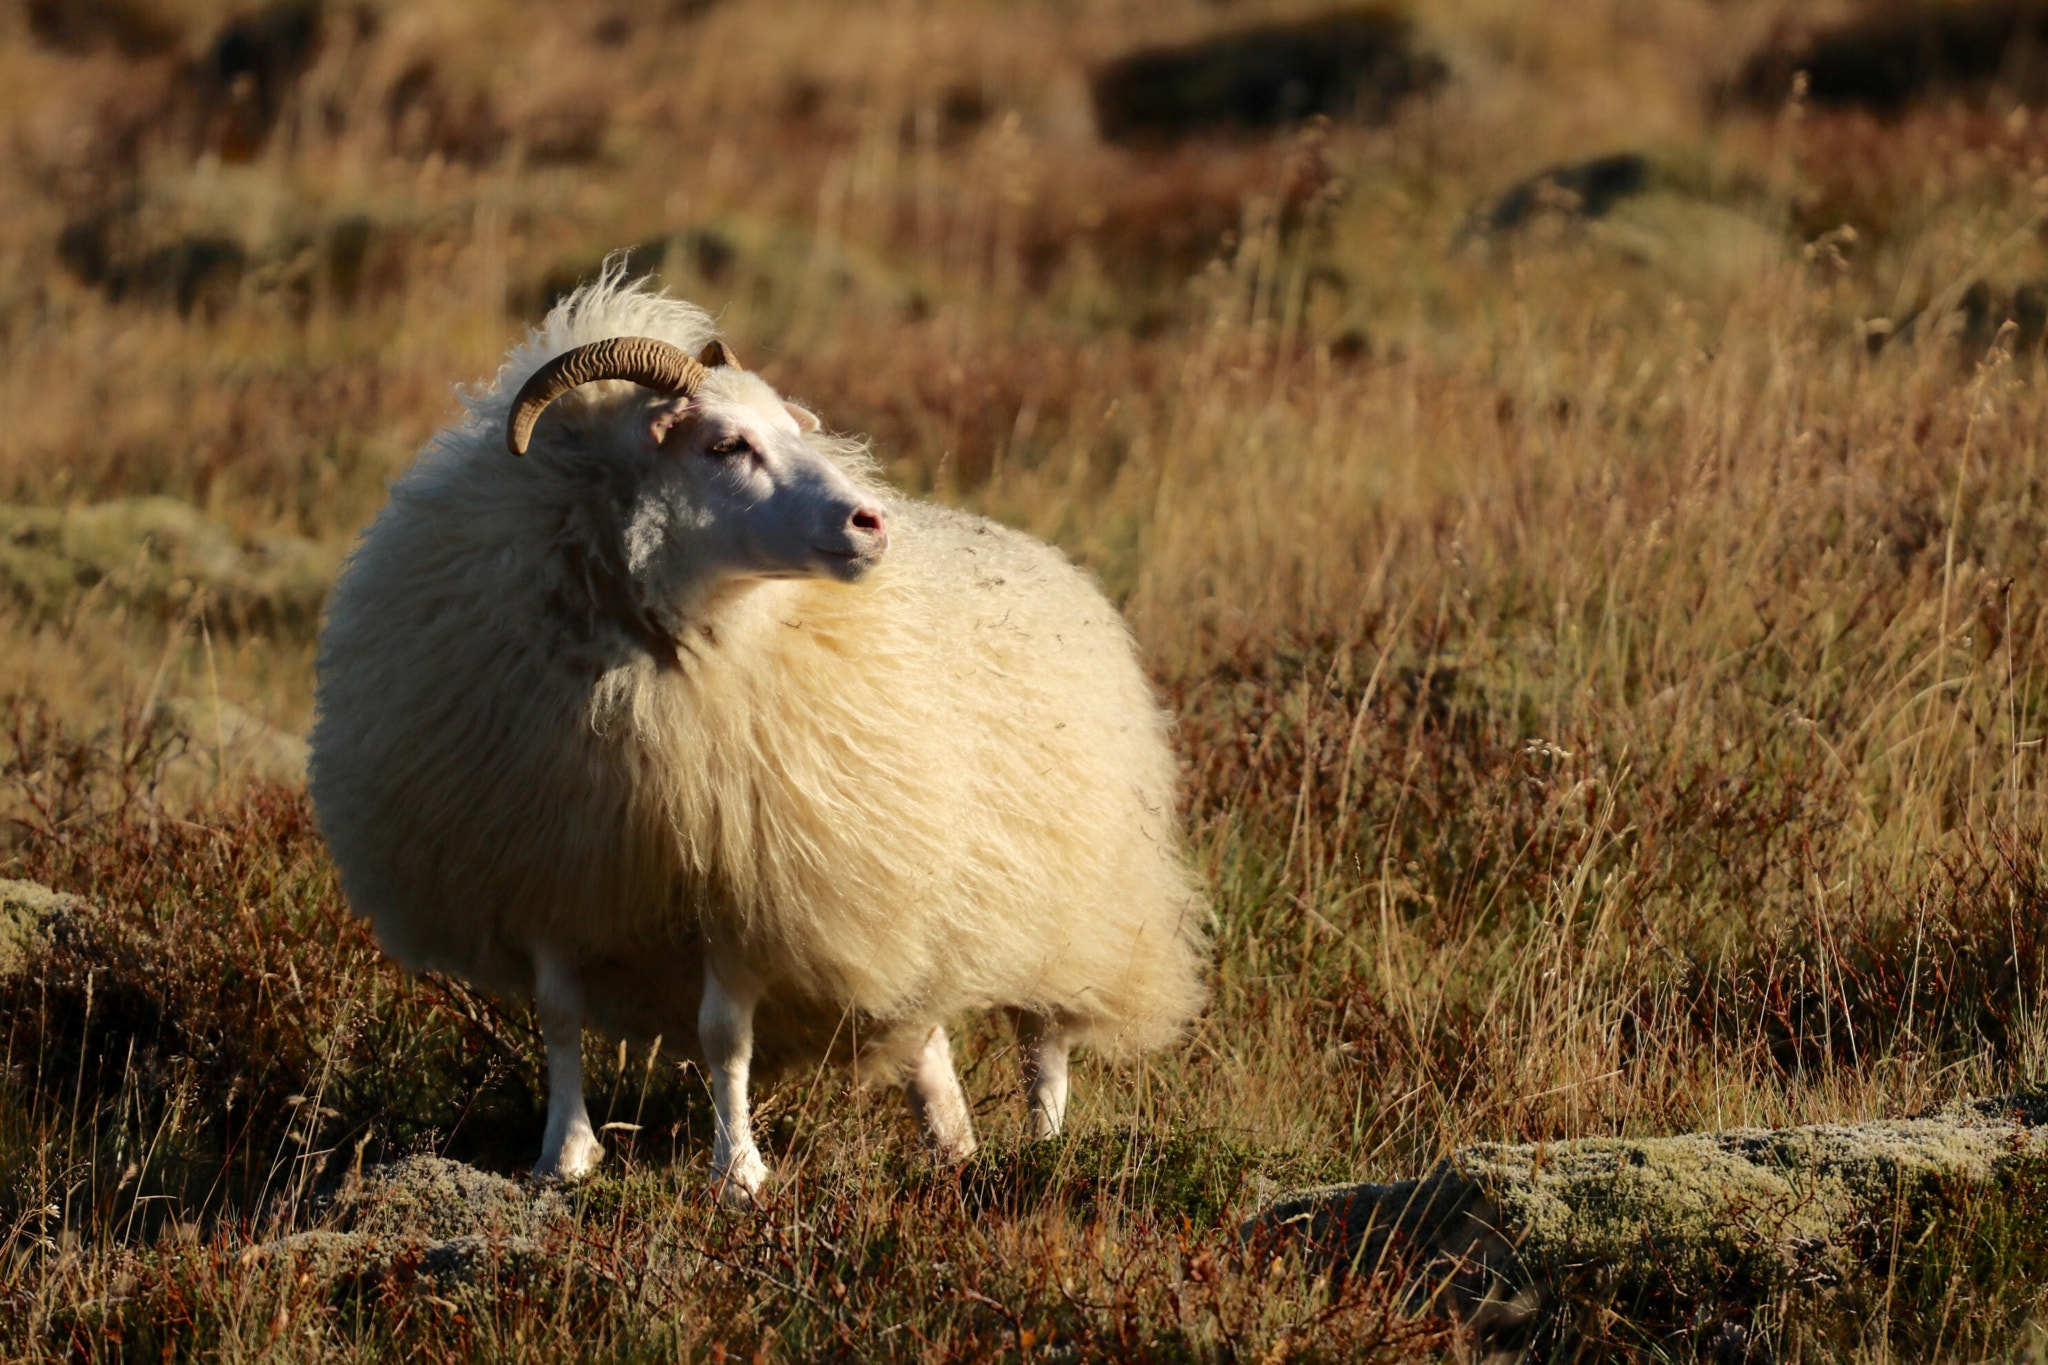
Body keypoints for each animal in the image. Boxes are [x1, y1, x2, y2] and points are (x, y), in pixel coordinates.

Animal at [309, 272, 1204, 1203]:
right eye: (726, 444)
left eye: (793, 427)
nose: (871, 522)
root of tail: (1058, 561)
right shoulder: (554, 865)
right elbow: (559, 1017)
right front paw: (563, 1156)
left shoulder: (743, 883)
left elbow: (721, 1035)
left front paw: (737, 1171)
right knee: (925, 1034)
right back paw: (954, 1144)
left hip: (1075, 896)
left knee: (1045, 1039)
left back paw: (1045, 1146)